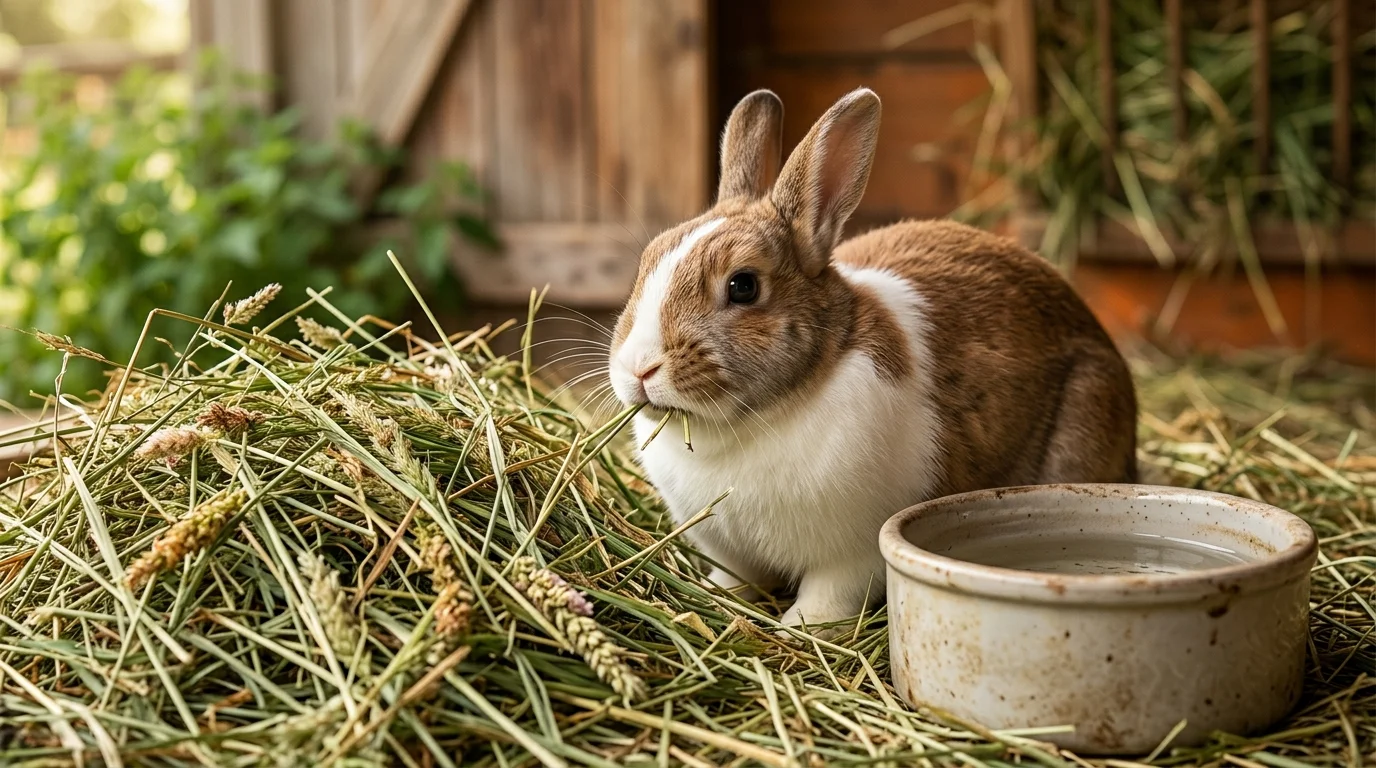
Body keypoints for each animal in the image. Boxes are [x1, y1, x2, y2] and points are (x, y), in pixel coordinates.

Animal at [607, 87, 1138, 633]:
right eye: (647, 261)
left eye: (743, 286)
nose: (639, 368)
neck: (748, 425)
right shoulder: (728, 551)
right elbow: (735, 579)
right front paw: (714, 599)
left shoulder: (851, 556)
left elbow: (828, 596)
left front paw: (800, 626)